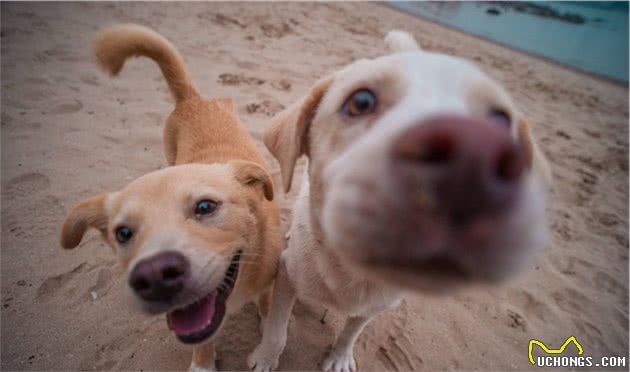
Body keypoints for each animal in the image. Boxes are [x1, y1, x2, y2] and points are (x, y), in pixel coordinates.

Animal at [60, 24, 282, 370]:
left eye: (205, 206)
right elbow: (205, 340)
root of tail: (192, 98)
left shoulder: (269, 280)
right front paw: (202, 364)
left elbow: (268, 308)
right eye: (123, 233)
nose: (155, 276)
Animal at [247, 31, 552, 372]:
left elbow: (351, 332)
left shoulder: (376, 306)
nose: (474, 153)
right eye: (361, 102)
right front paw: (265, 357)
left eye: (501, 120)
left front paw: (340, 357)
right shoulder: (286, 276)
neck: (351, 273)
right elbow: (277, 330)